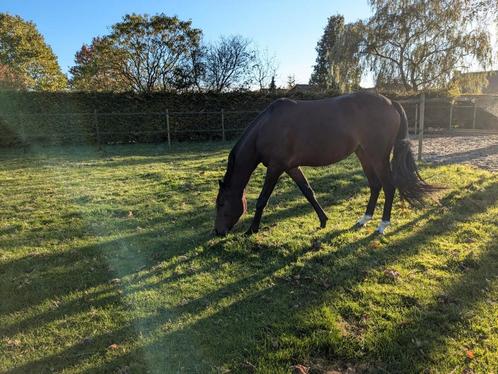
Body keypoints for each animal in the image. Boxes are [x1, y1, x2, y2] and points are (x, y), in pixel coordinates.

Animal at [214, 91, 436, 235]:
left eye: (222, 203)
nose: (218, 232)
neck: (266, 128)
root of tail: (391, 102)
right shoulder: (291, 167)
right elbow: (308, 192)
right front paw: (323, 220)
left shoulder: (276, 168)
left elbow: (262, 199)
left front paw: (252, 229)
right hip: (363, 154)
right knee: (375, 185)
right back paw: (364, 219)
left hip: (378, 155)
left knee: (389, 186)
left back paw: (383, 225)